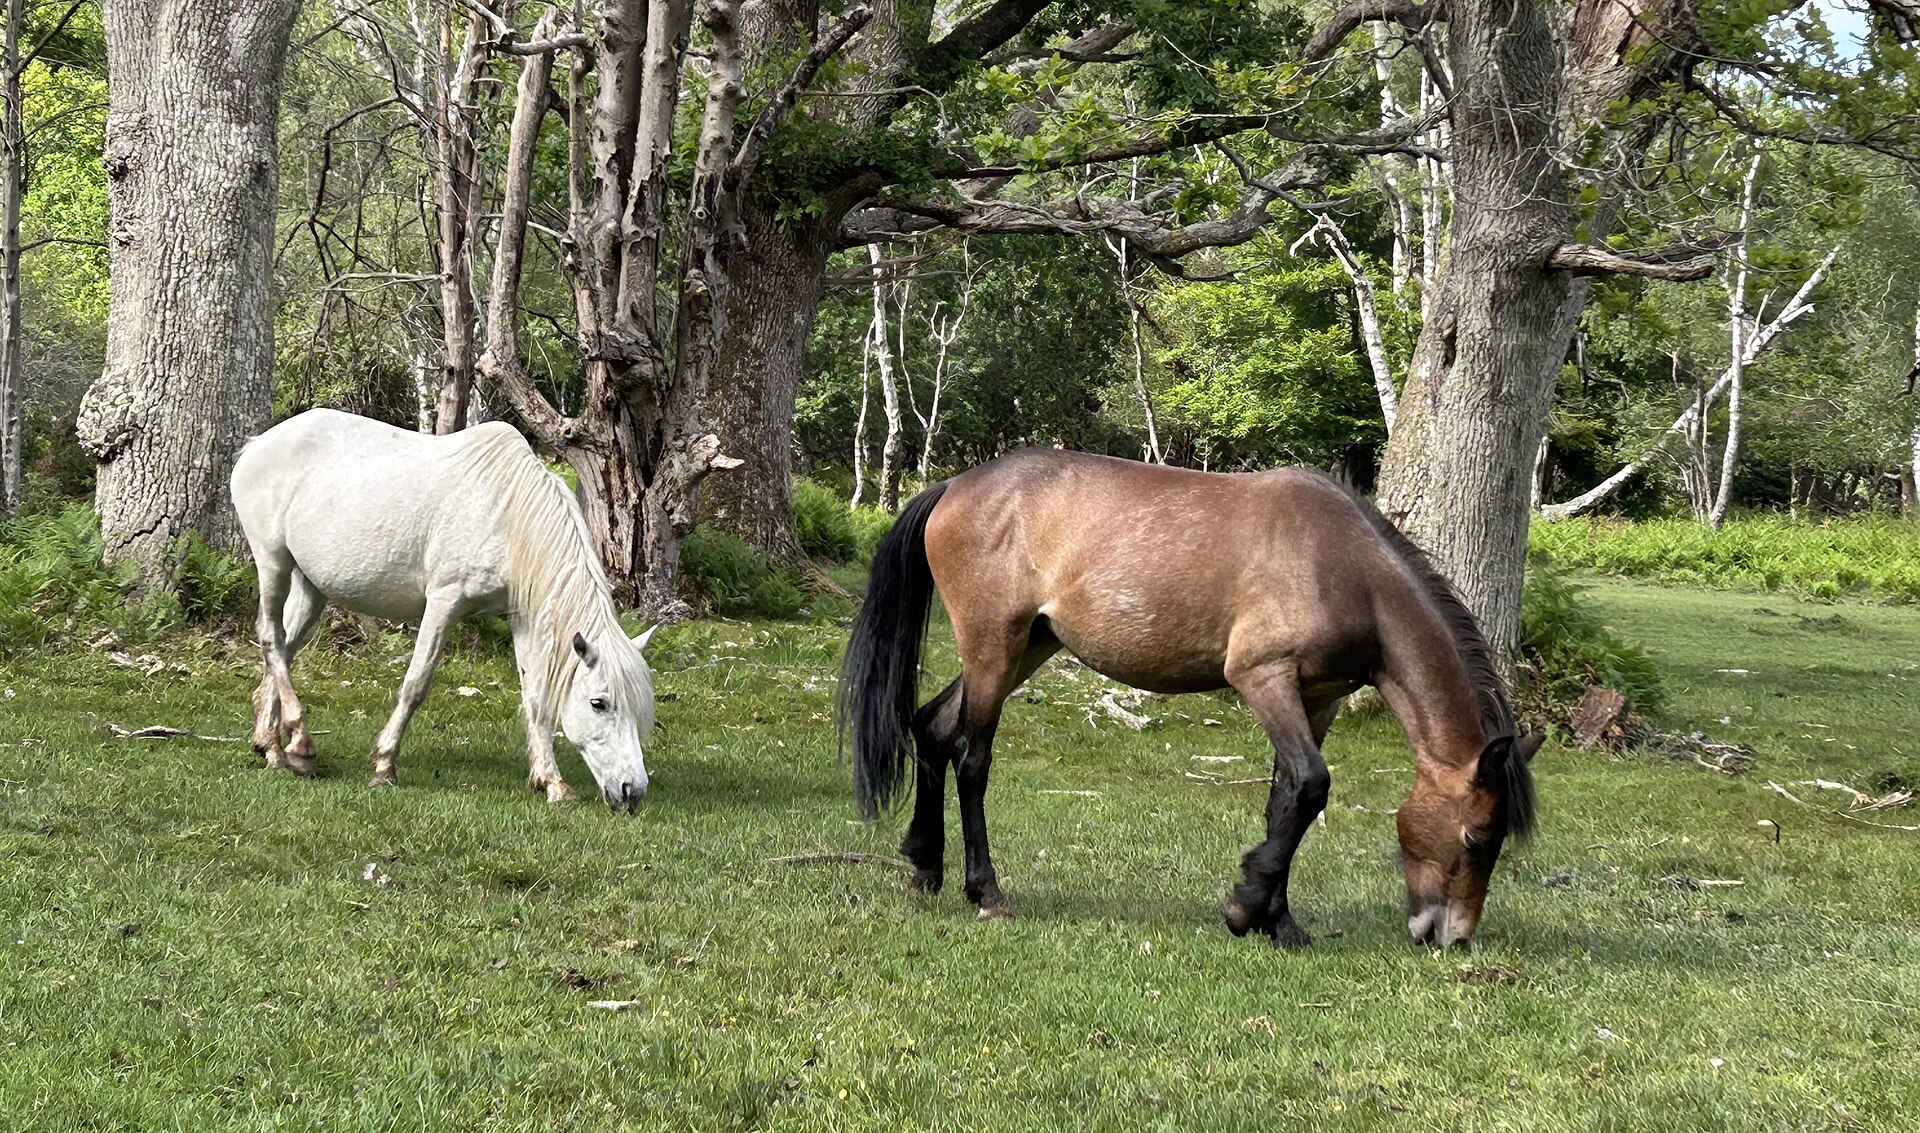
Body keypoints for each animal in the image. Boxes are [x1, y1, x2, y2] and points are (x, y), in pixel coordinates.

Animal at [230, 408, 656, 811]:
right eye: (599, 703)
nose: (632, 791)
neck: (507, 511)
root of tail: (258, 445)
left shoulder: (521, 616)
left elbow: (535, 698)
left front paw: (551, 782)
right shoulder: (443, 603)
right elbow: (416, 684)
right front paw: (385, 765)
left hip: (311, 587)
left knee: (284, 648)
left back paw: (270, 745)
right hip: (273, 564)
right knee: (271, 638)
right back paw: (298, 742)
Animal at [839, 448, 1540, 948]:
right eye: (1476, 837)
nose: (1451, 937)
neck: (1344, 568)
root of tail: (954, 488)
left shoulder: (1318, 699)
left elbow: (1285, 801)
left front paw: (1279, 923)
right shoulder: (1263, 678)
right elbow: (1311, 786)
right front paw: (1243, 908)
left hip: (1027, 647)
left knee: (932, 727)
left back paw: (925, 866)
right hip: (993, 648)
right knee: (972, 758)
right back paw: (984, 891)